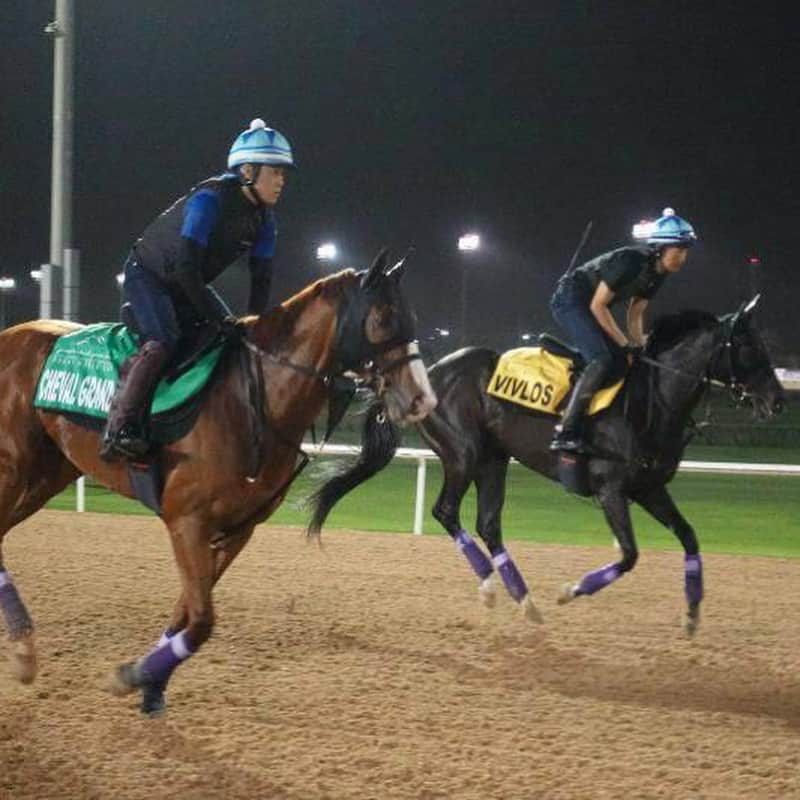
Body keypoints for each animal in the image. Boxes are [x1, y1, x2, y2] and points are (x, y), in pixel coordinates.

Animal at [0, 248, 434, 712]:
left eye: (412, 317)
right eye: (384, 318)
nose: (422, 399)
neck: (256, 401)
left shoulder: (238, 528)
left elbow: (186, 616)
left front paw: (149, 684)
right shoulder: (186, 520)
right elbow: (202, 621)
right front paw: (130, 676)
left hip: (46, 476)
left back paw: (24, 650)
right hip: (15, 468)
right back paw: (24, 651)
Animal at [310, 296, 784, 636]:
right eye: (748, 346)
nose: (777, 400)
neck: (651, 402)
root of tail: (423, 377)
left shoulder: (649, 488)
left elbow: (689, 536)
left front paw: (692, 613)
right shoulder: (611, 489)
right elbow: (630, 555)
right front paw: (571, 591)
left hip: (494, 459)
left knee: (488, 524)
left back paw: (524, 600)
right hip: (463, 453)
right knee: (446, 512)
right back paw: (491, 588)